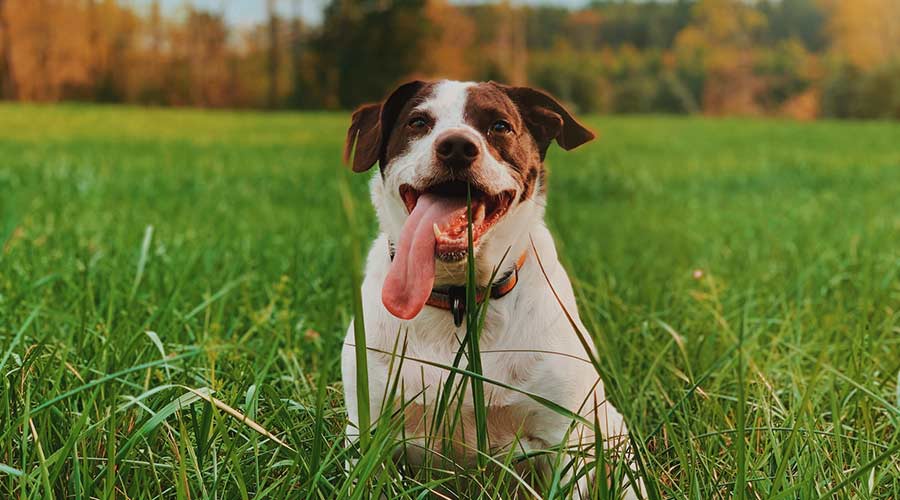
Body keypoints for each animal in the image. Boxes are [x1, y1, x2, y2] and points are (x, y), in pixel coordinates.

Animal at [340, 81, 640, 496]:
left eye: (499, 126)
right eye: (418, 121)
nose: (456, 146)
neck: (459, 300)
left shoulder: (564, 439)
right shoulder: (368, 432)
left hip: (616, 440)